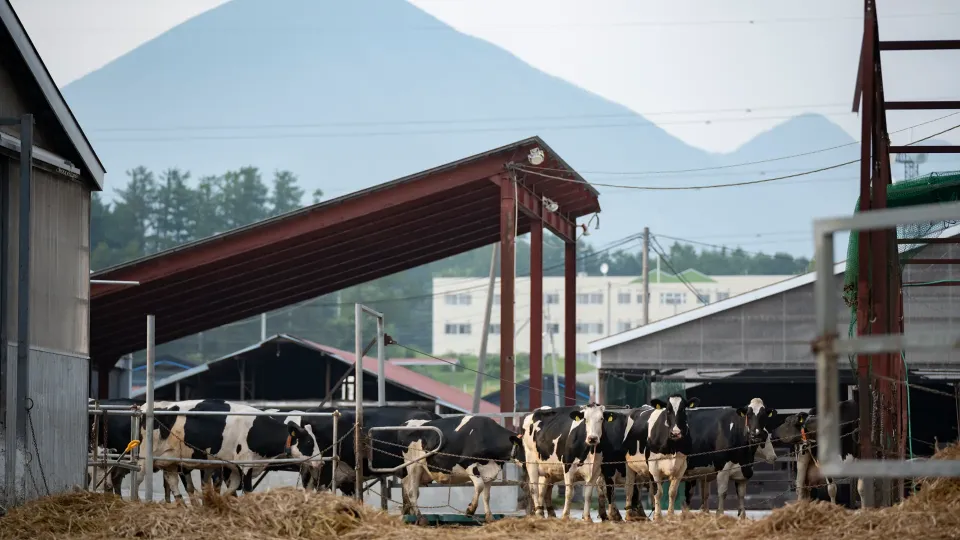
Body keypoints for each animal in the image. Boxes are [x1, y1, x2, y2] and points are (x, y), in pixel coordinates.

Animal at [137, 396, 316, 502]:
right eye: (309, 442)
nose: (319, 461)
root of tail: (145, 407)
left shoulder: (234, 467)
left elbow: (230, 490)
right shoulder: (245, 465)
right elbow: (247, 491)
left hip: (170, 461)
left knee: (173, 482)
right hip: (144, 458)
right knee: (139, 478)